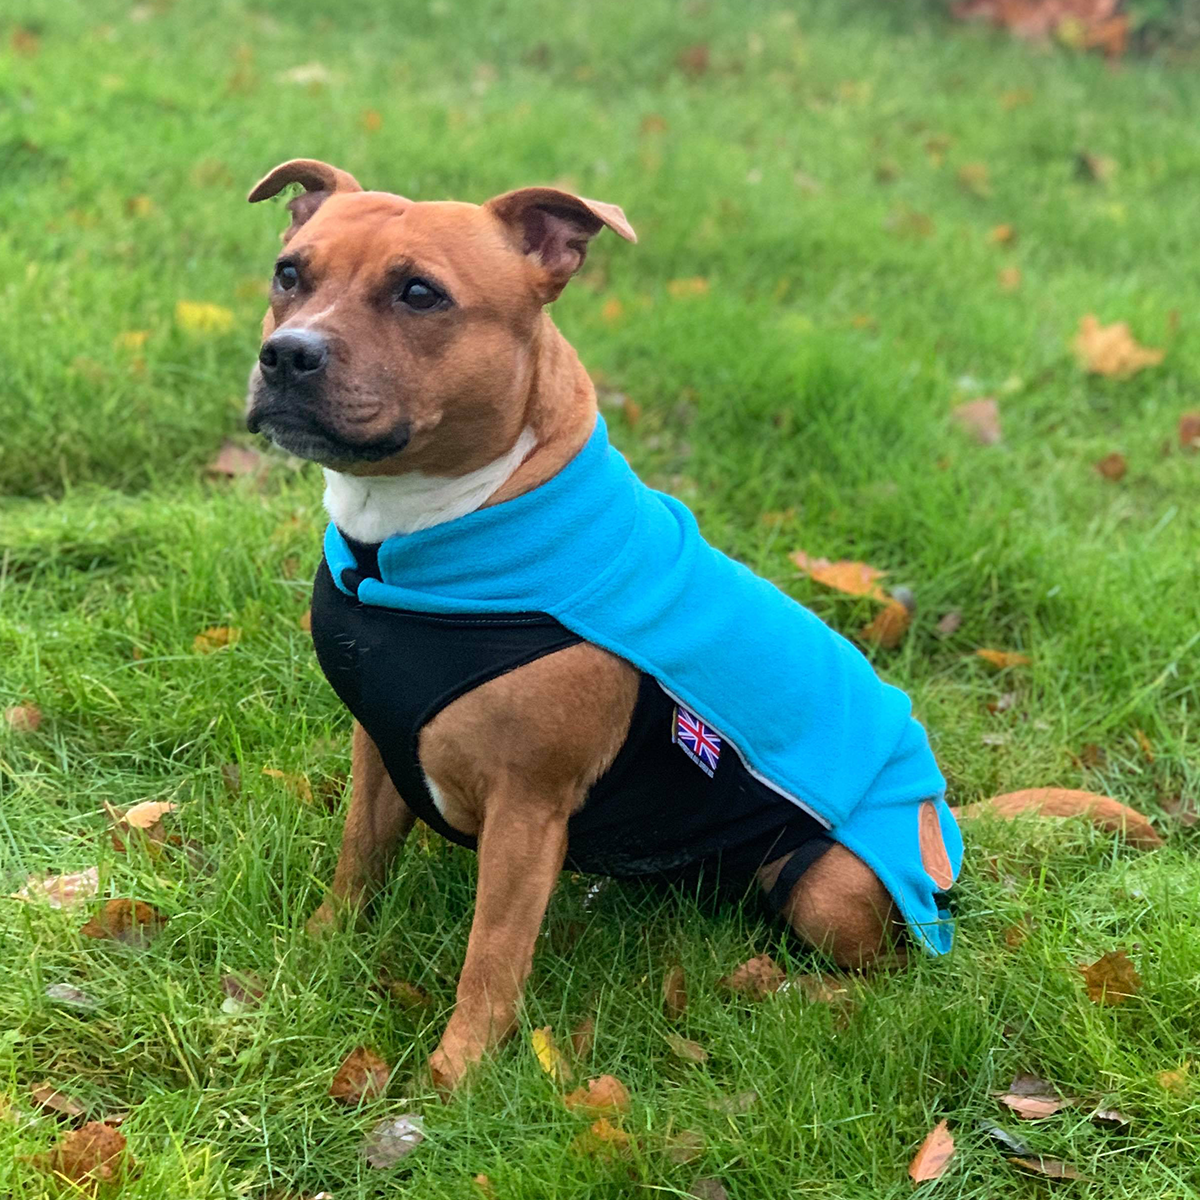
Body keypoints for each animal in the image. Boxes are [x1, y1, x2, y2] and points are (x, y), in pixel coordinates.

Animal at [243, 157, 902, 1089]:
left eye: (420, 293)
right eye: (289, 274)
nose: (288, 354)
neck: (411, 539)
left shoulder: (527, 809)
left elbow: (491, 955)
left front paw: (456, 1077)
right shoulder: (377, 745)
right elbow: (358, 862)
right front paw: (321, 950)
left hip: (834, 888)